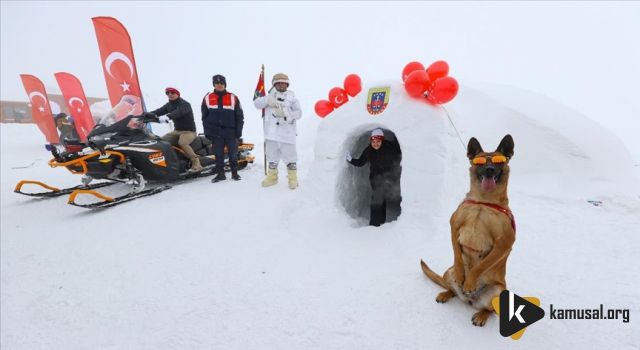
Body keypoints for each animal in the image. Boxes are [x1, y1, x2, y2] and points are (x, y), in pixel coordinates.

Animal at [420, 135, 516, 326]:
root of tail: (469, 300)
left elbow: (480, 267)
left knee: (490, 310)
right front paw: (461, 275)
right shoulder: (454, 227)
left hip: (498, 291)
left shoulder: (504, 245)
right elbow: (457, 254)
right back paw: (447, 293)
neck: (483, 202)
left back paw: (481, 315)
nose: (489, 170)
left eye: (499, 161)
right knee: (452, 289)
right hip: (448, 272)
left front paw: (470, 281)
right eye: (479, 162)